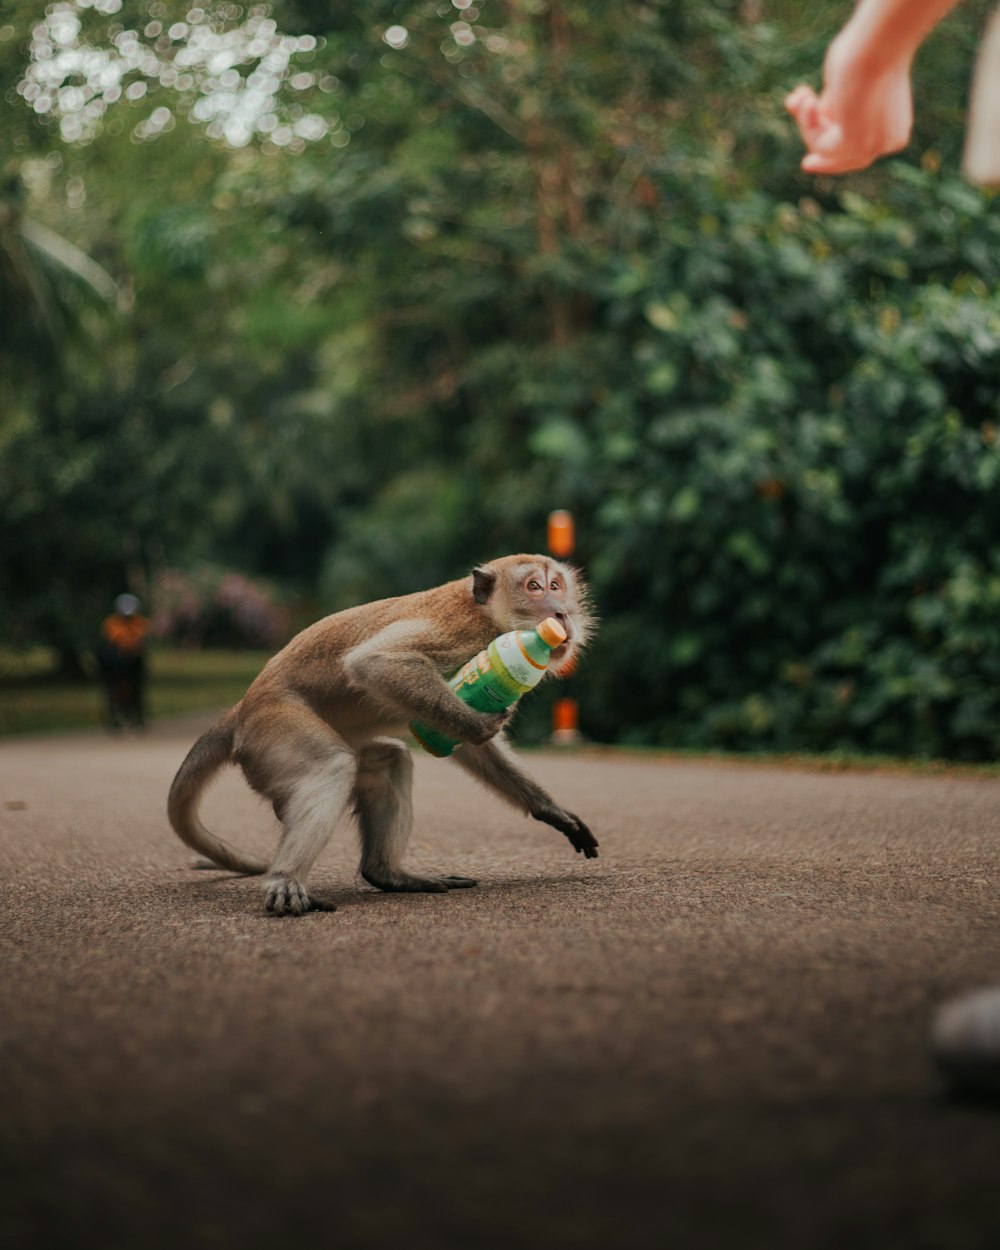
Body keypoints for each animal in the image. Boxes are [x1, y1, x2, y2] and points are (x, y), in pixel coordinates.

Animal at [167, 557, 597, 920]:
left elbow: (470, 749)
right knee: (333, 766)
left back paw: (387, 873)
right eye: (534, 587)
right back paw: (286, 878)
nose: (562, 612)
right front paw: (479, 726)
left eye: (556, 585)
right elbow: (375, 663)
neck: (486, 615)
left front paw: (549, 809)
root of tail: (242, 709)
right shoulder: (457, 635)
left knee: (389, 762)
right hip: (272, 729)